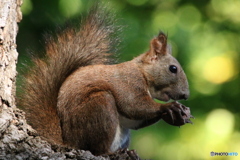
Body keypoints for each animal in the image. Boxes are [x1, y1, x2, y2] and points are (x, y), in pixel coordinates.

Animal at [18, 4, 193, 156]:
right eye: (173, 68)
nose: (185, 95)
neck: (142, 72)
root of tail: (69, 142)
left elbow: (134, 119)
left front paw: (177, 116)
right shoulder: (128, 83)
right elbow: (134, 105)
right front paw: (169, 107)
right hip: (100, 107)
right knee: (98, 149)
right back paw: (113, 154)